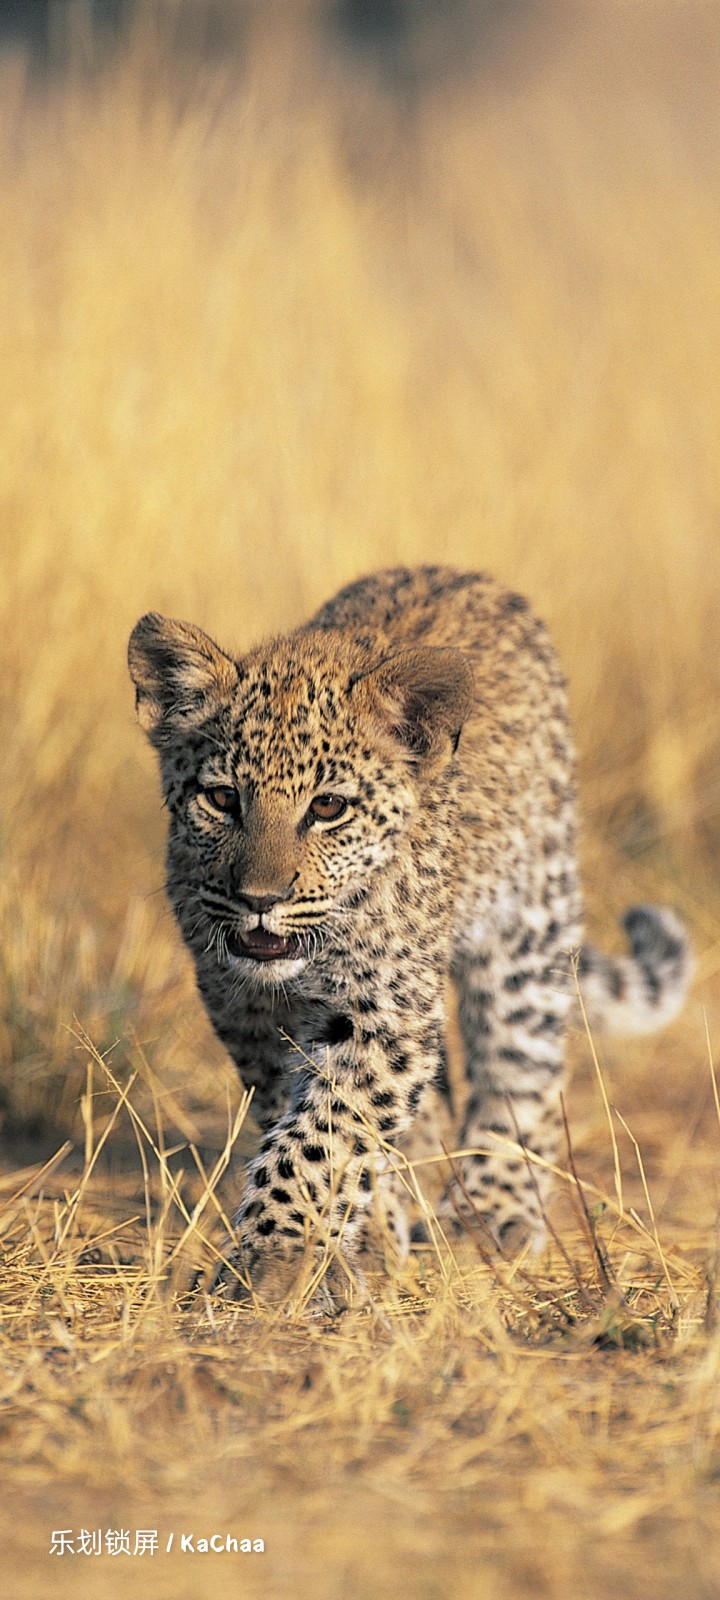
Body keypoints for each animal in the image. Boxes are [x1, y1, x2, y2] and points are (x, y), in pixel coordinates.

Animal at [128, 566, 691, 1305]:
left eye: (328, 808)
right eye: (221, 800)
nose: (259, 901)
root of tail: (463, 574)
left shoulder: (383, 1015)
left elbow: (326, 1136)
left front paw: (277, 1257)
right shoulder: (244, 1011)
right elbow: (305, 1119)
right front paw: (355, 1240)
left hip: (526, 924)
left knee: (524, 1062)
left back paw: (494, 1209)